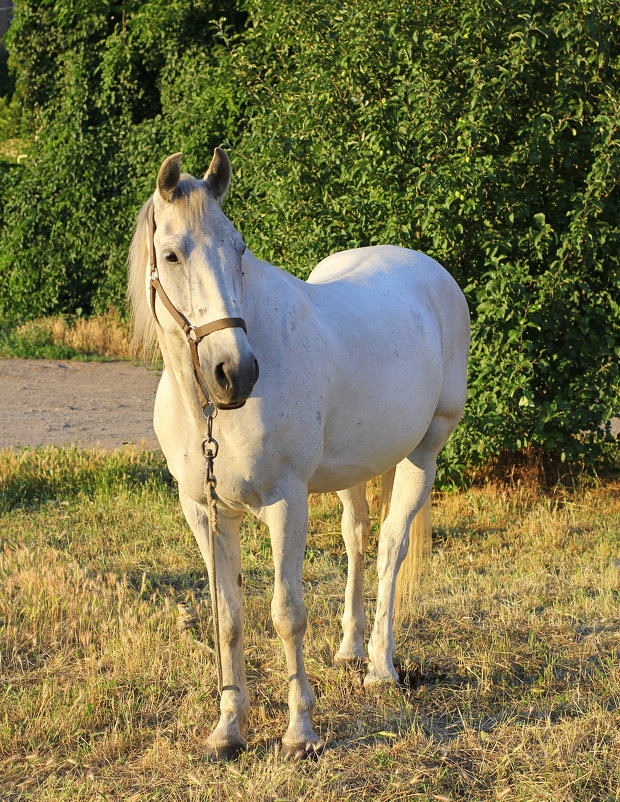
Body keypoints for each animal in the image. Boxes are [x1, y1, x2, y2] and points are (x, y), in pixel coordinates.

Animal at [131, 148, 470, 756]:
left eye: (239, 249)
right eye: (170, 254)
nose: (236, 372)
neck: (210, 414)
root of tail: (432, 273)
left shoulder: (286, 503)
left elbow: (286, 613)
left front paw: (300, 732)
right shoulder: (203, 510)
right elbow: (228, 616)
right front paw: (228, 729)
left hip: (424, 452)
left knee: (391, 547)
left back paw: (380, 666)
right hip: (355, 469)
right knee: (358, 539)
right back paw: (350, 648)